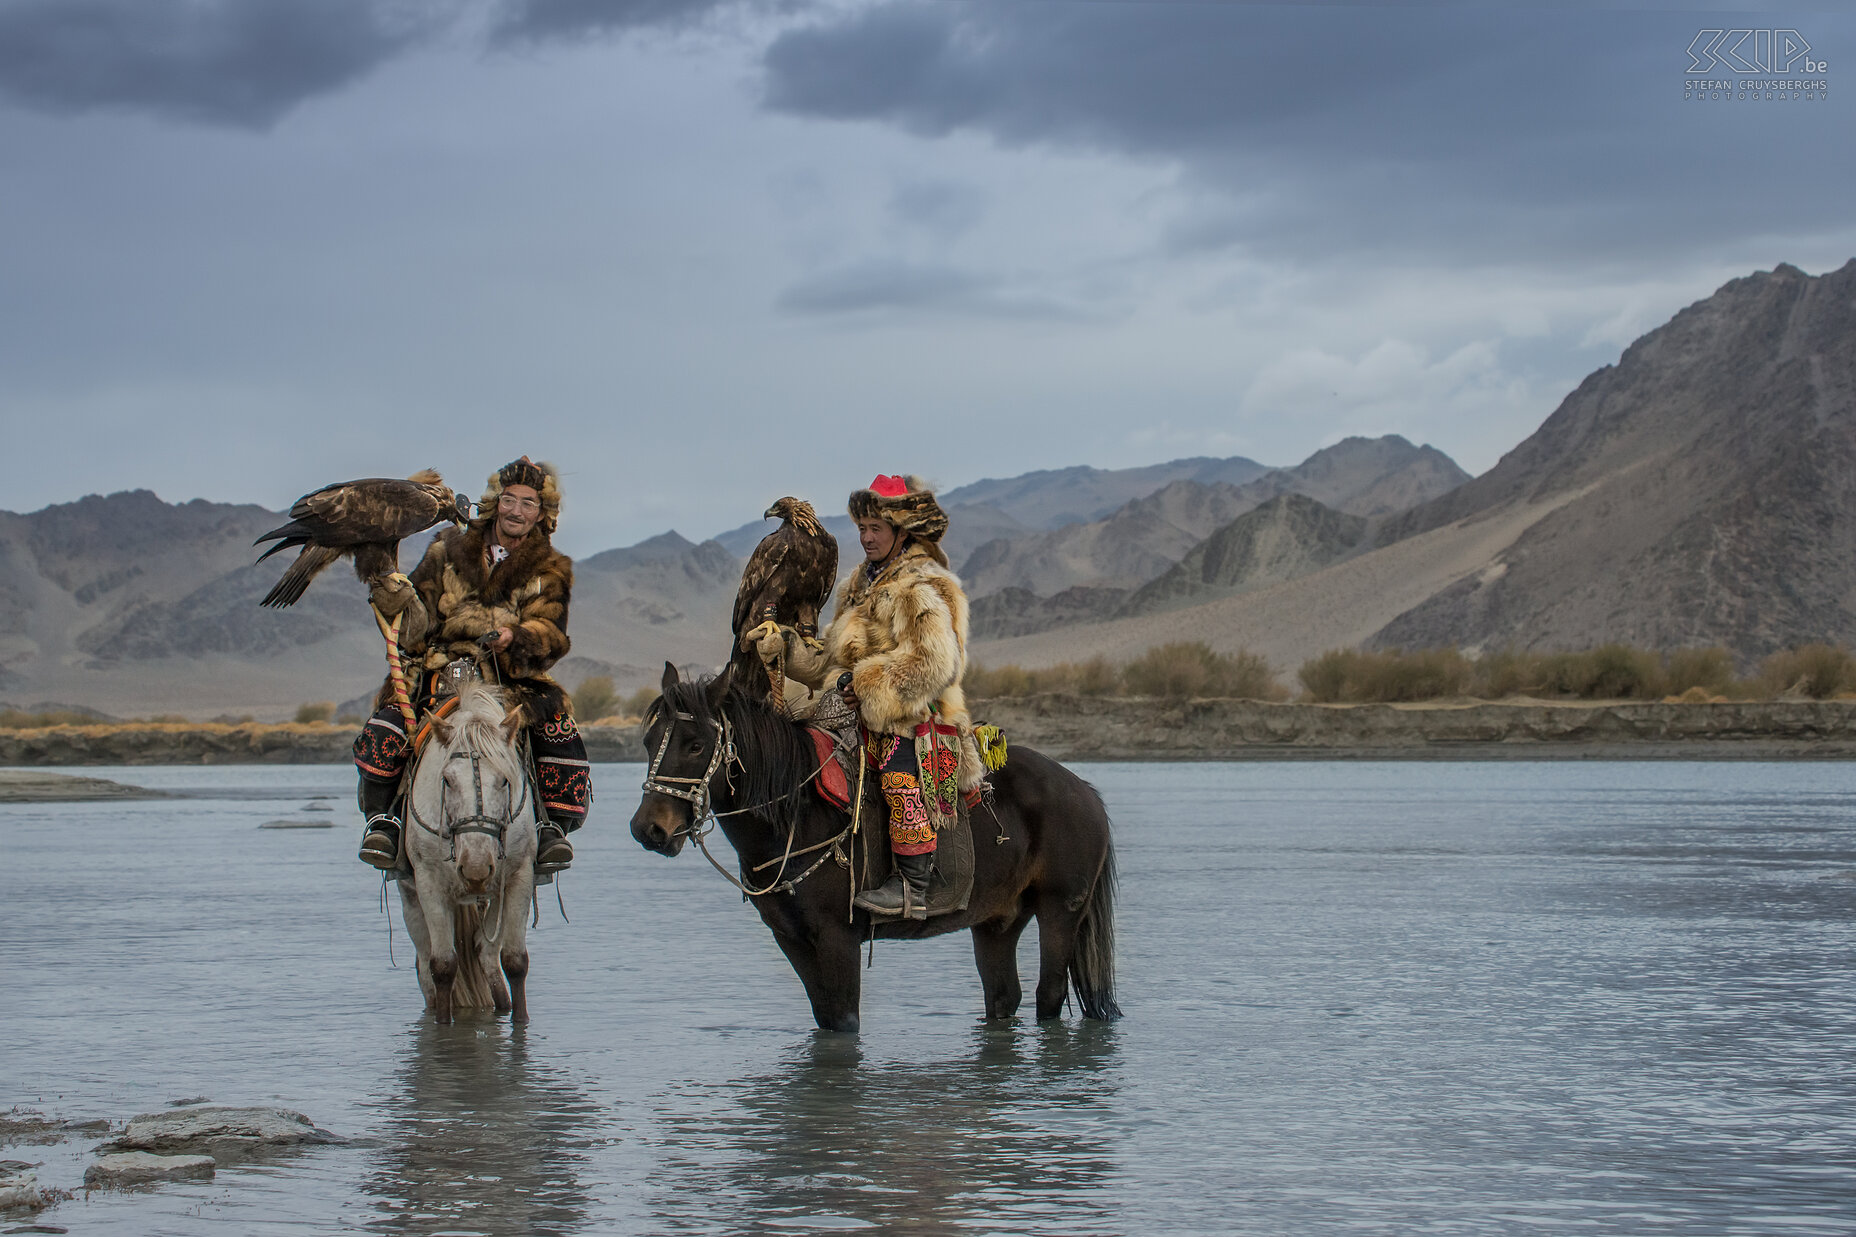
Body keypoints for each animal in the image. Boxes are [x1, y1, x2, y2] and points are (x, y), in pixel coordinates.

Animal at [395, 679, 534, 1017]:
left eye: (505, 780)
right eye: (446, 780)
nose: (475, 868)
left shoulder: (519, 876)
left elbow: (515, 962)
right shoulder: (429, 882)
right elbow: (443, 966)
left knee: (486, 952)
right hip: (410, 896)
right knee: (424, 966)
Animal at [627, 664, 1113, 1032]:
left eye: (695, 745)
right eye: (648, 742)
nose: (649, 829)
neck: (797, 813)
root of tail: (1086, 791)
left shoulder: (838, 938)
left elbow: (844, 1023)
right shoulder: (793, 940)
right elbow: (826, 1019)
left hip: (1060, 910)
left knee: (1048, 995)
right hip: (997, 921)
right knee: (1003, 997)